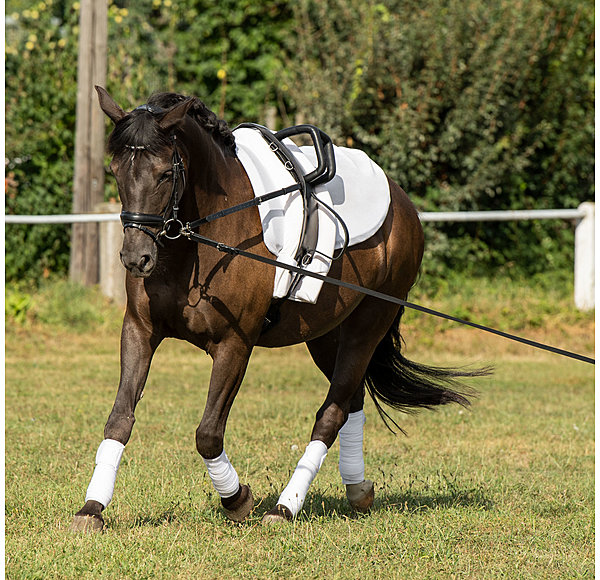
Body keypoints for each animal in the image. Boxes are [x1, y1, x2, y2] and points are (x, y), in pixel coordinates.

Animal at [72, 87, 480, 532]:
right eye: (115, 172)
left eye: (165, 174)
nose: (136, 258)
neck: (198, 241)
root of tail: (402, 200)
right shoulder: (140, 330)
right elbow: (120, 418)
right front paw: (92, 508)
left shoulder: (234, 344)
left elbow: (208, 433)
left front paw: (237, 500)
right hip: (325, 335)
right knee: (350, 401)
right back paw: (357, 489)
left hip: (367, 326)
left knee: (331, 412)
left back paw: (285, 507)